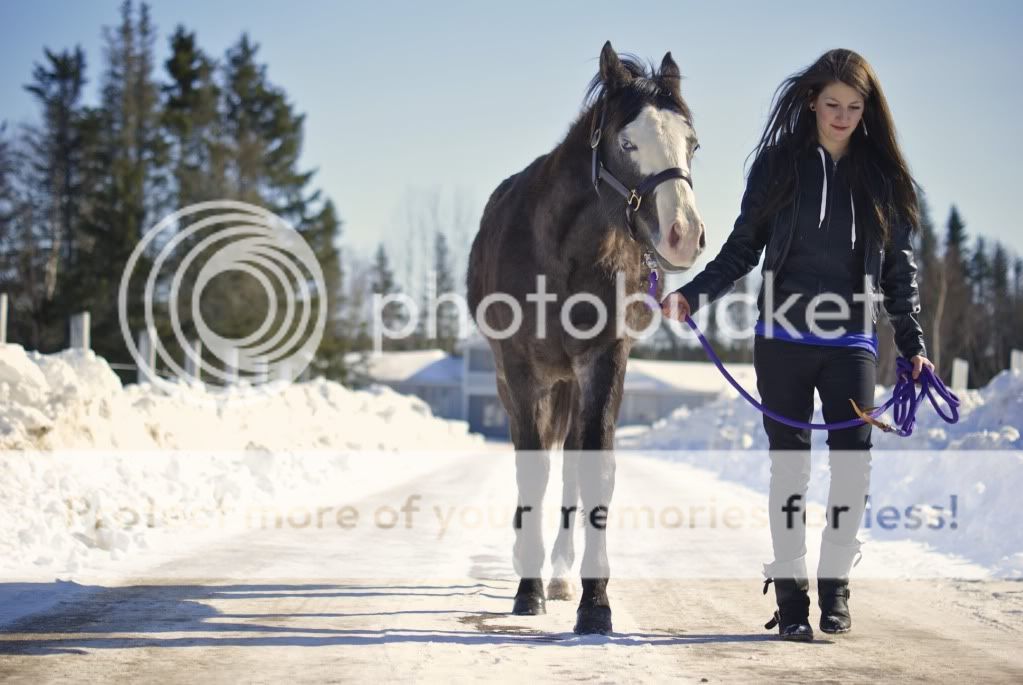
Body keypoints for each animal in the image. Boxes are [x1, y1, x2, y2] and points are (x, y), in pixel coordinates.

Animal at [468, 41, 707, 633]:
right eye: (627, 142)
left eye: (692, 143)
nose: (684, 235)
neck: (562, 252)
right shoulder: (520, 369)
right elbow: (531, 471)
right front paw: (526, 589)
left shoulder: (604, 360)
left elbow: (595, 469)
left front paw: (594, 602)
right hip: (521, 382)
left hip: (572, 384)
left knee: (571, 466)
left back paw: (560, 573)